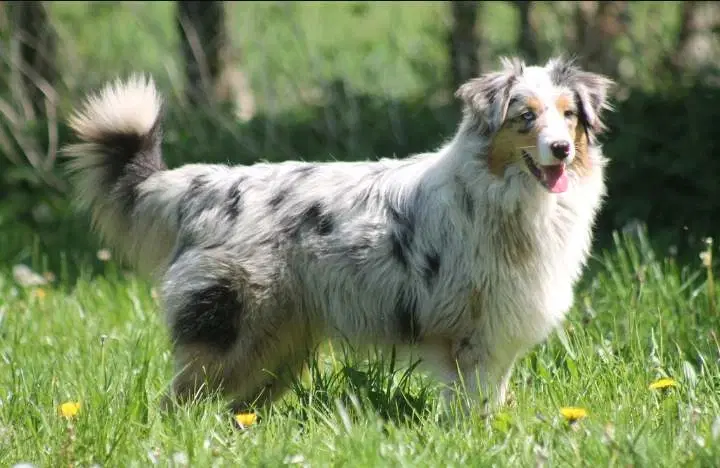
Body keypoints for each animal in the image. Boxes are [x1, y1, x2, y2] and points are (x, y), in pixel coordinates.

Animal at [64, 55, 612, 414]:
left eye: (568, 115)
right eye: (525, 117)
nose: (561, 149)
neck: (507, 195)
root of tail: (204, 187)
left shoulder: (498, 333)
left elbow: (491, 398)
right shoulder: (473, 336)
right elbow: (473, 404)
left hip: (276, 347)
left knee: (235, 408)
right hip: (230, 333)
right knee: (176, 403)